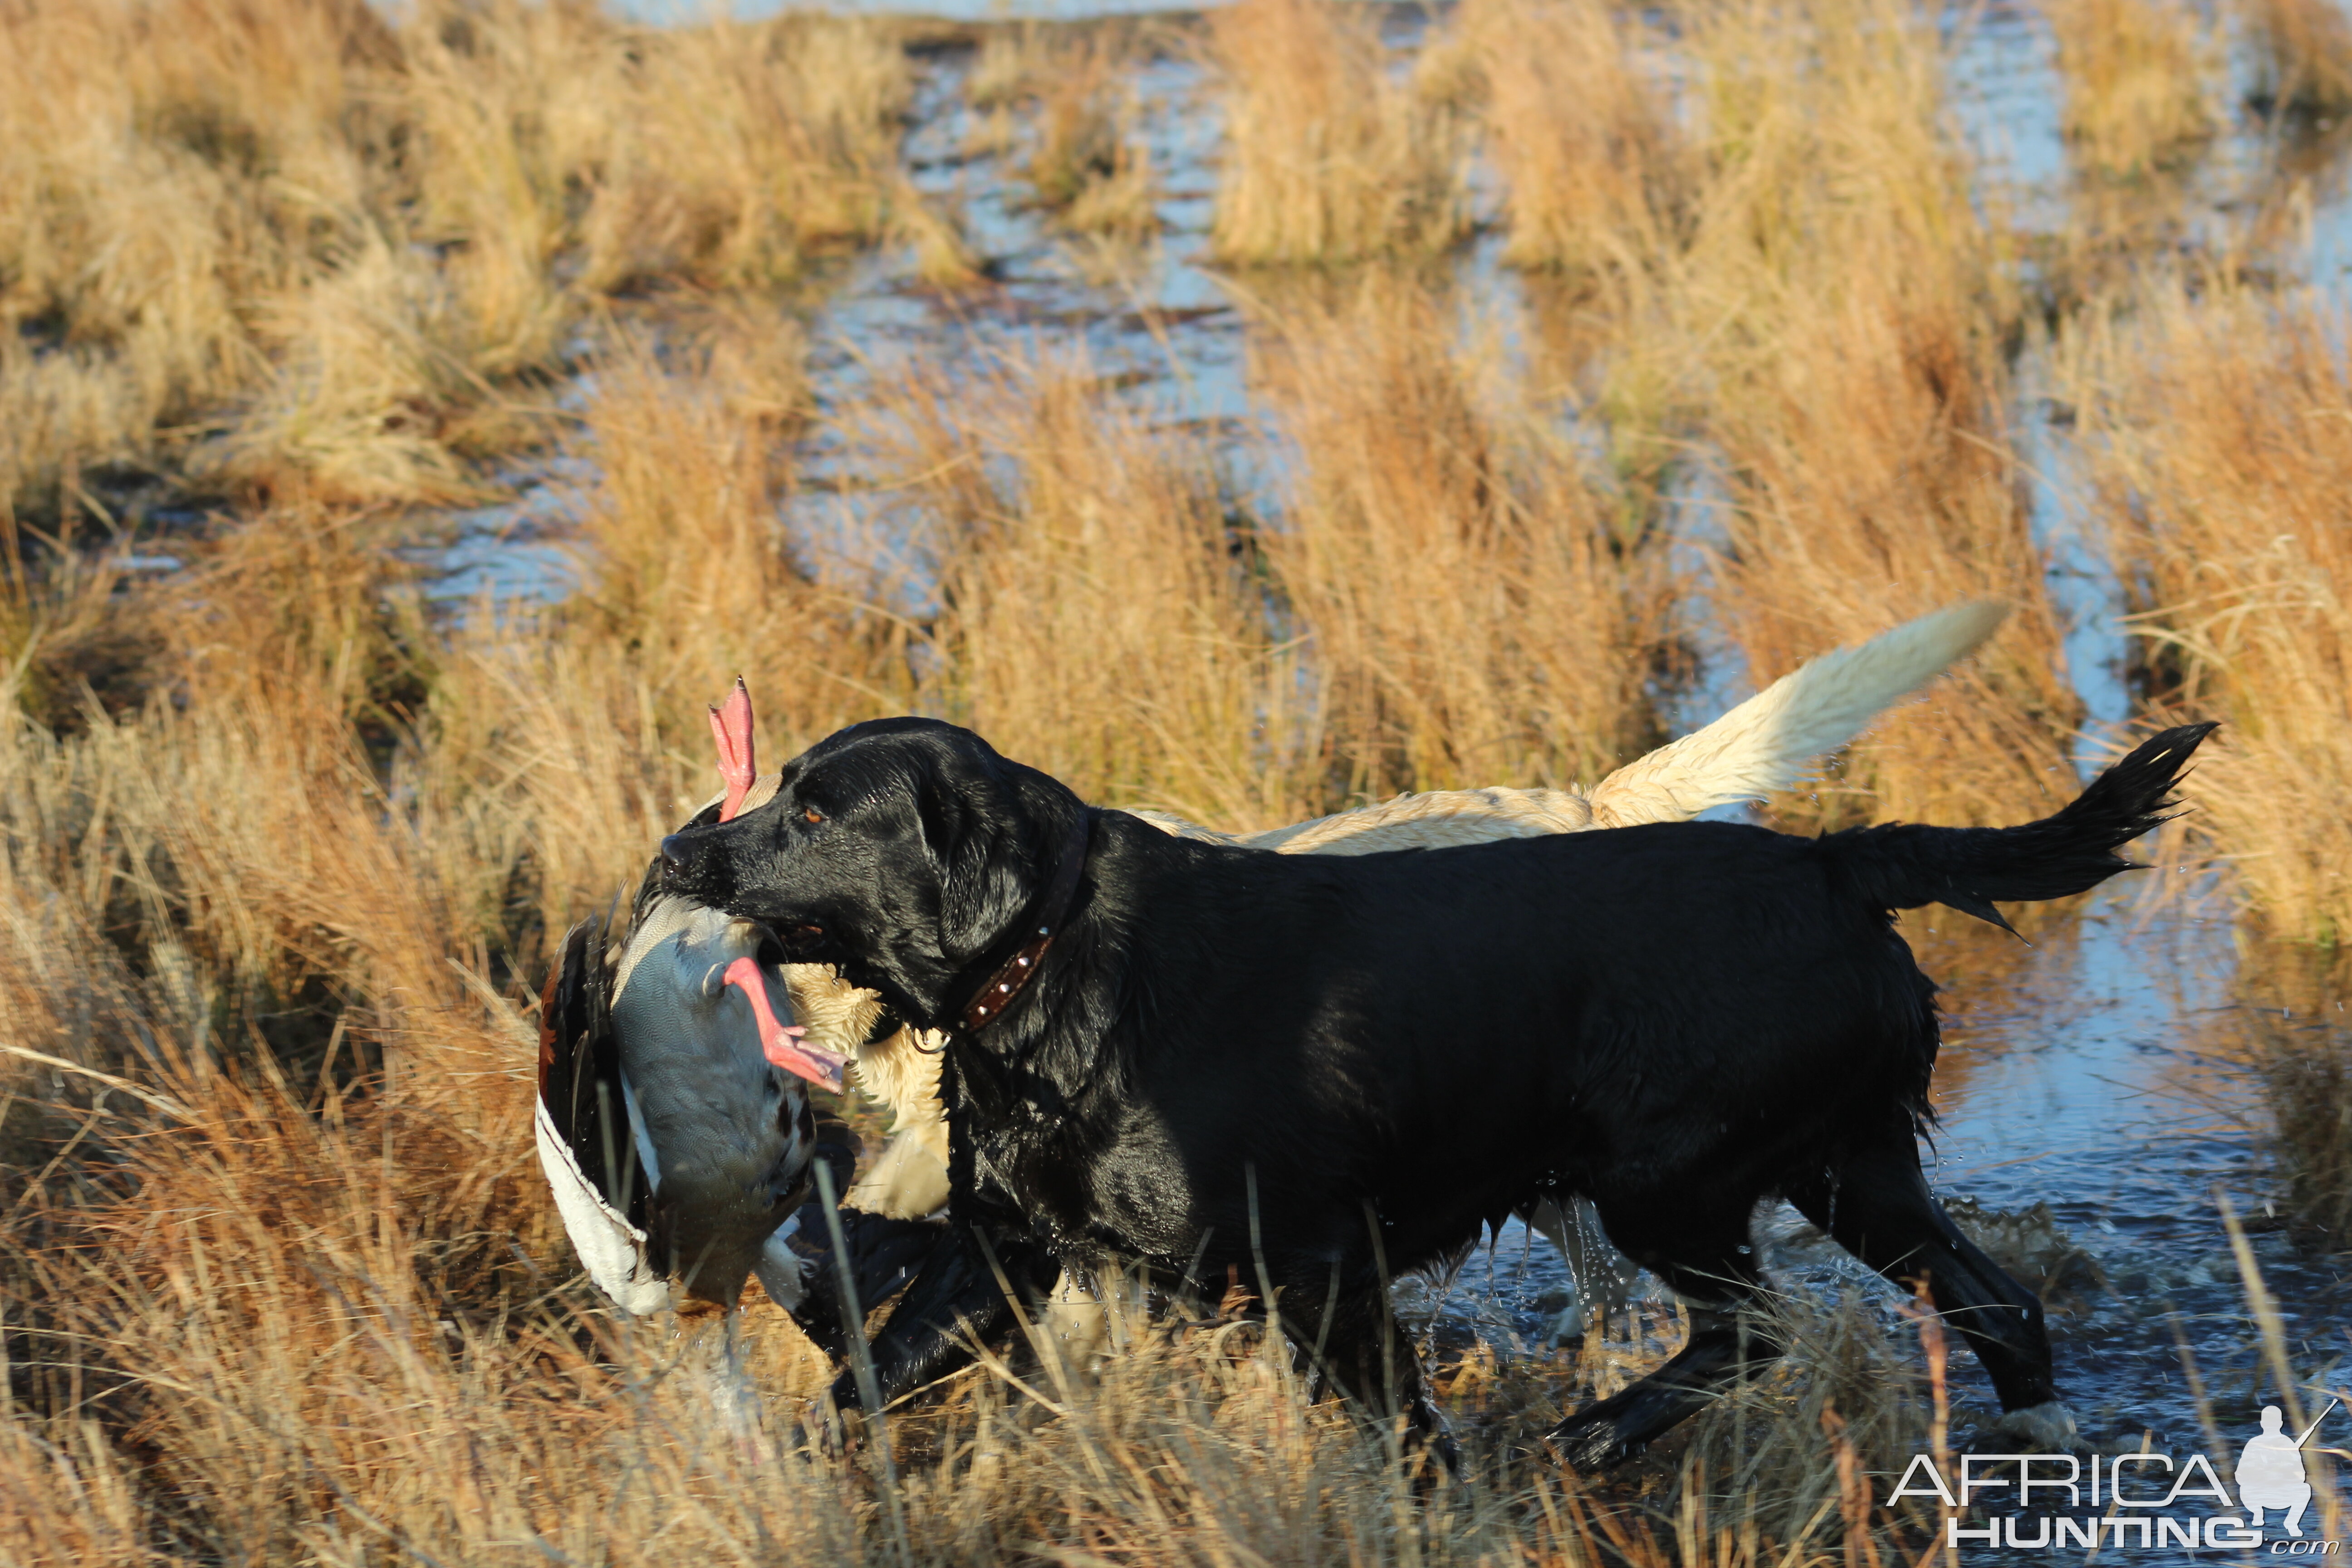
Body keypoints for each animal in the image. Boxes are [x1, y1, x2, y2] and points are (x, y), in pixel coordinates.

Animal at [654, 719, 2210, 1467]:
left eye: (811, 810)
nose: (675, 851)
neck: (1056, 961)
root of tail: (1836, 862)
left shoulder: (1322, 1268)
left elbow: (1409, 1441)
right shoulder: (1007, 1255)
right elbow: (863, 1379)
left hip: (1668, 1179)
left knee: (1754, 1331)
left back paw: (1602, 1431)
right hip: (1851, 1170)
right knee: (1999, 1302)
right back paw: (2032, 1435)